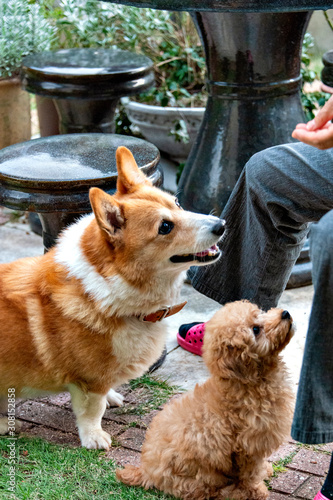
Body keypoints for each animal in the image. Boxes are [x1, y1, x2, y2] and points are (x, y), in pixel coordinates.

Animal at [0, 147, 224, 450]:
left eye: (177, 202)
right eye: (165, 227)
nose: (222, 225)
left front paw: (112, 397)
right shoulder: (88, 379)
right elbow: (92, 411)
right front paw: (94, 438)